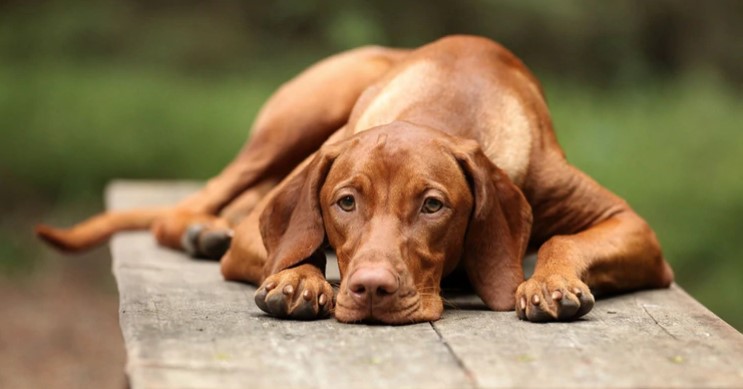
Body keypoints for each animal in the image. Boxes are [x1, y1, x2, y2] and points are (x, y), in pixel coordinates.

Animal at [36, 35, 676, 322]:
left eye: (433, 206)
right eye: (345, 202)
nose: (369, 289)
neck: (446, 106)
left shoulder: (632, 224)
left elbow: (565, 238)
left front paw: (547, 282)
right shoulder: (273, 225)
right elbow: (294, 248)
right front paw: (301, 281)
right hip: (302, 115)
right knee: (190, 206)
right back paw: (204, 231)